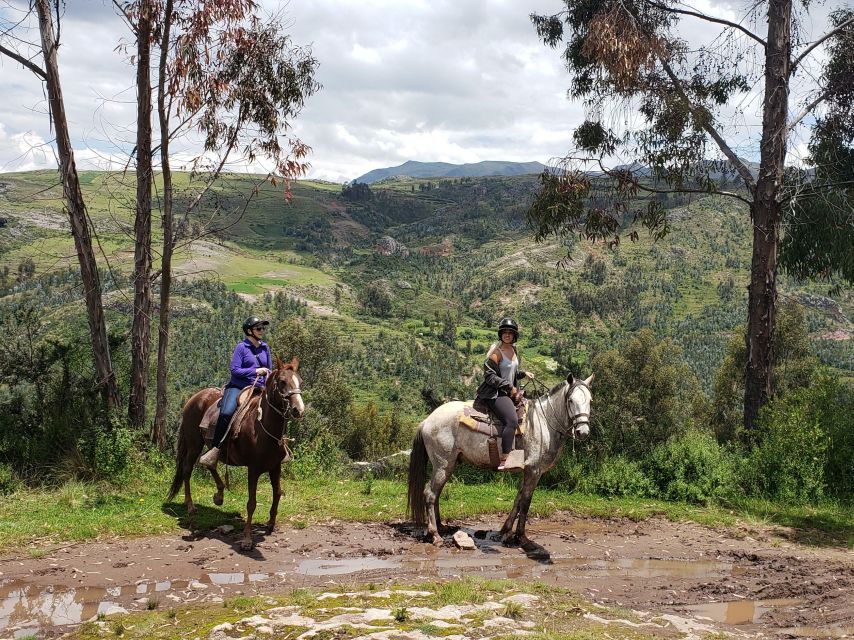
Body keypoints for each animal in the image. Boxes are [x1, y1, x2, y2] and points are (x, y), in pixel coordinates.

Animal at [167, 356, 304, 552]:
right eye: (282, 382)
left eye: (300, 381)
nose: (298, 410)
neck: (262, 428)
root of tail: (193, 398)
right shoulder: (253, 469)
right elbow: (251, 503)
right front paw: (246, 539)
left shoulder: (275, 467)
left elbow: (277, 492)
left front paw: (271, 523)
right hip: (194, 444)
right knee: (187, 470)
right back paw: (191, 508)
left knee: (209, 463)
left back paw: (219, 495)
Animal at [408, 376, 596, 552]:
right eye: (571, 400)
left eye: (590, 400)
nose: (583, 432)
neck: (543, 423)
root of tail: (427, 421)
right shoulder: (533, 470)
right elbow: (526, 502)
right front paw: (522, 538)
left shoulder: (528, 471)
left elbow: (518, 500)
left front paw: (504, 531)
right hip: (443, 465)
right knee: (430, 494)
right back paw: (435, 535)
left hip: (447, 466)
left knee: (436, 493)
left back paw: (441, 527)